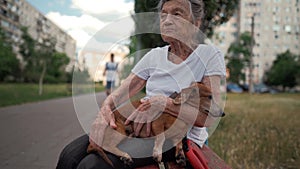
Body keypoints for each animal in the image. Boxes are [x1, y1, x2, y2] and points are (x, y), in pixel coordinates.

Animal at [86, 82, 220, 168]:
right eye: (209, 97)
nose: (222, 113)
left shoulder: (178, 137)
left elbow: (179, 145)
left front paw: (180, 156)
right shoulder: (157, 123)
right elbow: (161, 137)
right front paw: (157, 153)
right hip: (119, 131)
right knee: (106, 145)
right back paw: (125, 156)